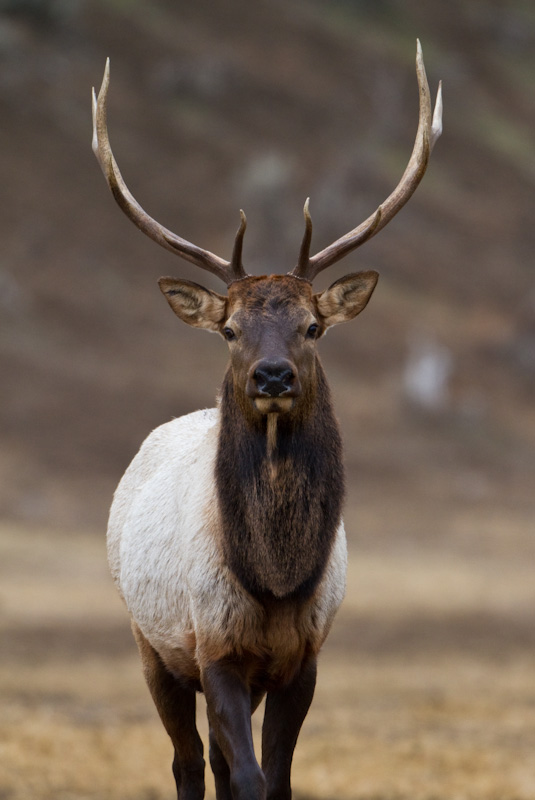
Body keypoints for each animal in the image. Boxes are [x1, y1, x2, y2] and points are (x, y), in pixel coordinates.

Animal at [93, 42, 444, 800]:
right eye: (229, 329)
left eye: (313, 325)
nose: (273, 376)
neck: (276, 580)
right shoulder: (213, 646)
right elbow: (247, 777)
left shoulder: (301, 657)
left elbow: (274, 776)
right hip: (151, 643)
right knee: (190, 761)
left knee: (220, 764)